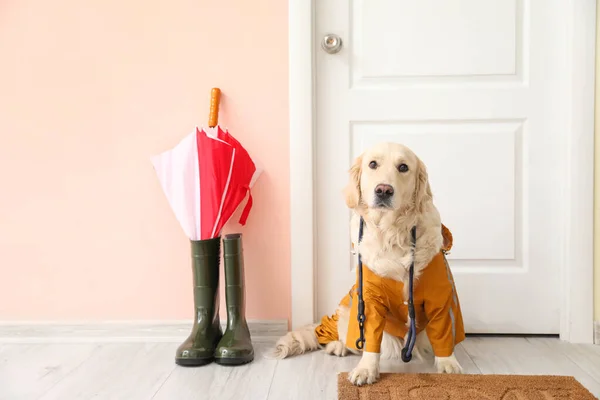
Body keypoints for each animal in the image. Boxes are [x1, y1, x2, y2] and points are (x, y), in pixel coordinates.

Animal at [270, 142, 464, 386]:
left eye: (403, 167)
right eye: (373, 164)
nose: (383, 190)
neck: (391, 232)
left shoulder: (440, 296)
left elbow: (443, 331)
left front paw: (448, 363)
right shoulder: (369, 298)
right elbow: (370, 337)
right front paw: (366, 369)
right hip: (348, 309)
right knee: (344, 335)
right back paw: (338, 345)